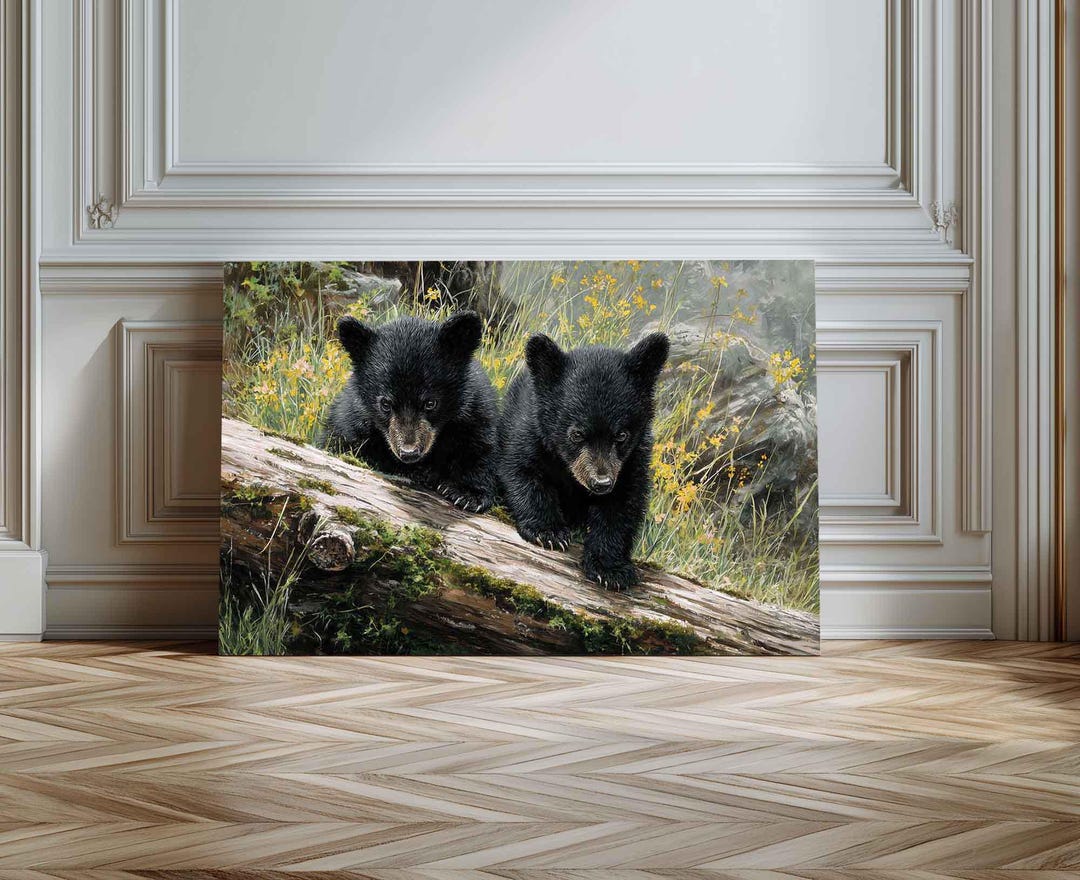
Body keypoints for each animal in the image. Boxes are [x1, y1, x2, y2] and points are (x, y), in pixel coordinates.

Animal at [321, 311, 498, 513]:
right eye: (385, 404)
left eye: (430, 403)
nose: (409, 453)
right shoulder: (352, 419)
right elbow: (344, 445)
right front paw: (418, 472)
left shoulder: (474, 410)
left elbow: (479, 446)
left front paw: (467, 494)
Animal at [497, 331, 669, 589]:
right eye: (577, 434)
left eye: (621, 435)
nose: (601, 483)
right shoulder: (530, 432)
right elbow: (523, 472)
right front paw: (548, 532)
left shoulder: (632, 461)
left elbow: (622, 506)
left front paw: (610, 570)